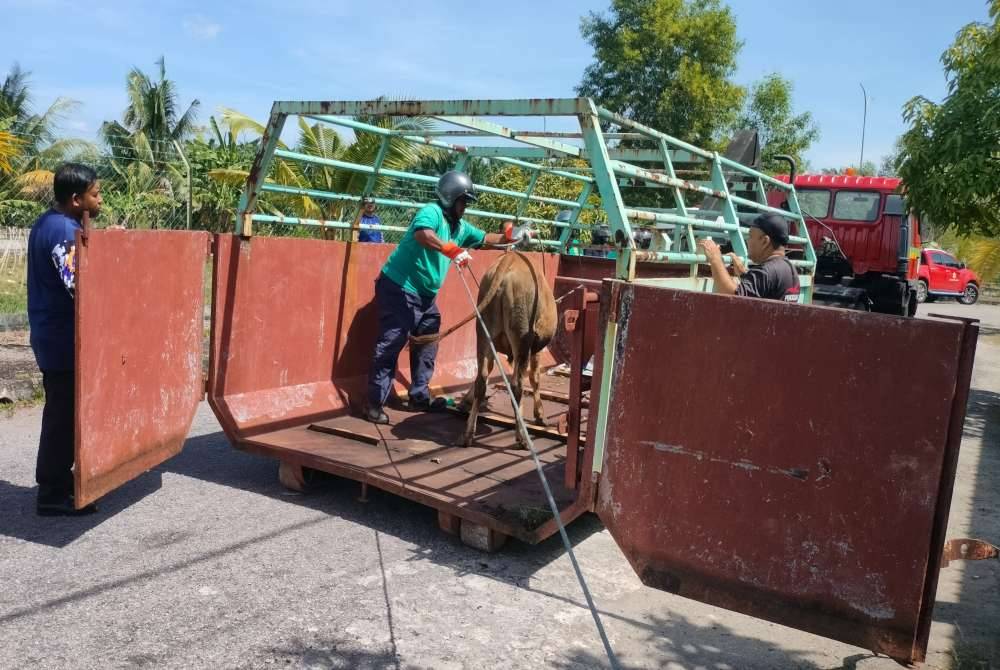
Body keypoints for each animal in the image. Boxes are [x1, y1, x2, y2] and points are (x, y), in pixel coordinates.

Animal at [410, 249, 560, 448]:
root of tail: (509, 260)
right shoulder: (535, 350)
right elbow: (534, 378)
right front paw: (540, 416)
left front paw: (464, 402)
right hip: (521, 338)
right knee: (517, 386)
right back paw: (521, 437)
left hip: (483, 334)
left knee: (481, 379)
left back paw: (467, 435)